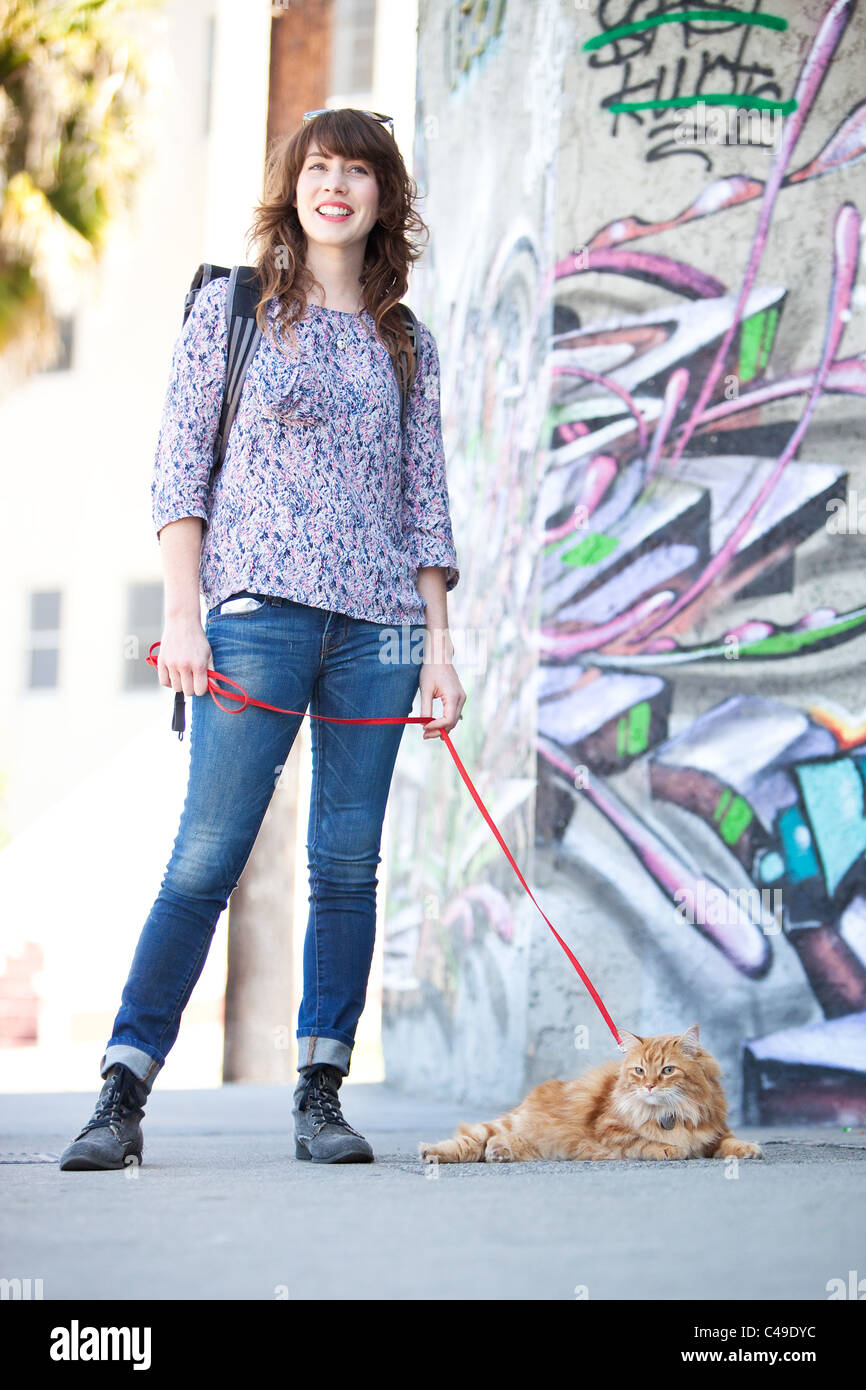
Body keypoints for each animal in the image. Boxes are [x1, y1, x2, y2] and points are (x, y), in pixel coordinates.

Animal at [419, 1023, 767, 1162]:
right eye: (639, 1071)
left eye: (668, 1070)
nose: (649, 1086)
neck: (673, 1113)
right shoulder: (609, 1130)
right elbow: (645, 1141)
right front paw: (670, 1149)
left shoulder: (714, 1132)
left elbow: (730, 1143)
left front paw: (749, 1149)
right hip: (501, 1125)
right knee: (470, 1140)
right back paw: (432, 1152)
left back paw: (499, 1153)